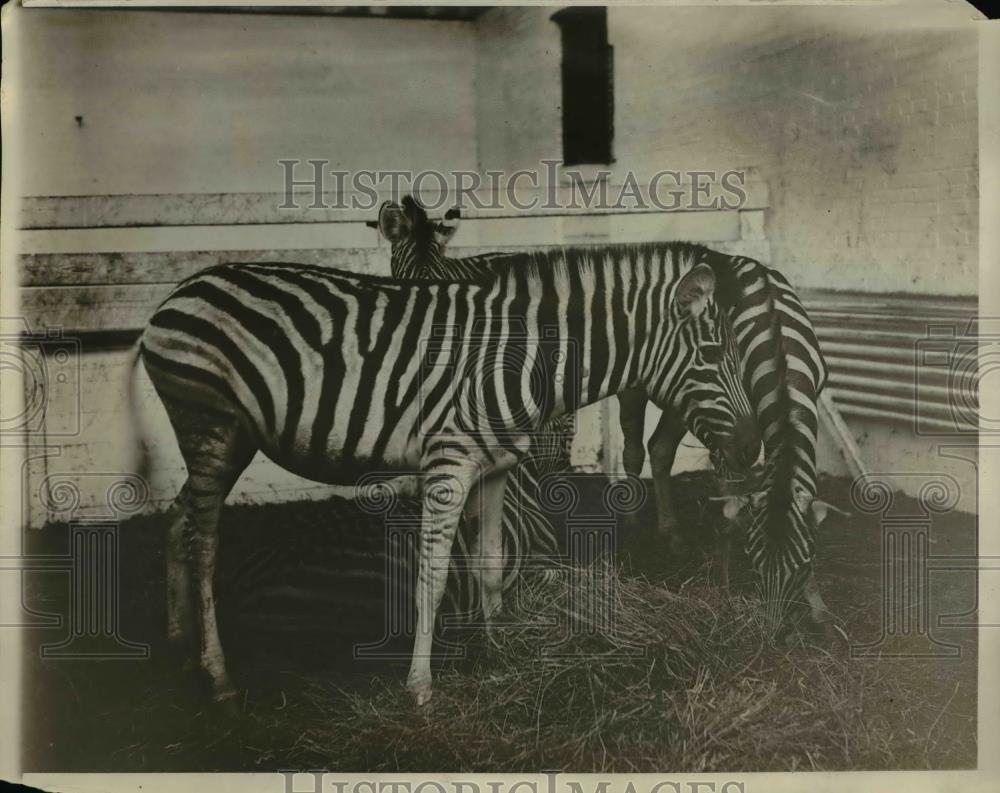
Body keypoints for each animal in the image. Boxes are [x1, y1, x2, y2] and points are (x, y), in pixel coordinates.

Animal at [133, 244, 752, 704]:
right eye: (712, 354)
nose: (751, 449)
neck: (518, 356)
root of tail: (186, 287)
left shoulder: (495, 468)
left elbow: (491, 564)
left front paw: (500, 653)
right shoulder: (447, 465)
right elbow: (430, 577)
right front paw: (420, 687)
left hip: (233, 436)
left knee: (177, 517)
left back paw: (180, 645)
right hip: (208, 421)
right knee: (204, 542)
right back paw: (218, 677)